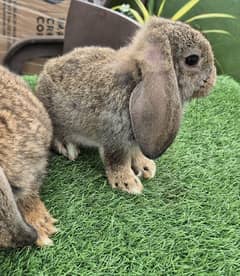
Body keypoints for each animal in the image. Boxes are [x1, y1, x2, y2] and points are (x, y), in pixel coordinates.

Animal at [36, 16, 217, 194]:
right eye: (192, 59)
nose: (212, 80)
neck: (137, 81)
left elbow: (136, 152)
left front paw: (146, 167)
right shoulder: (114, 138)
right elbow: (117, 161)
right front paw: (128, 183)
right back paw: (68, 148)